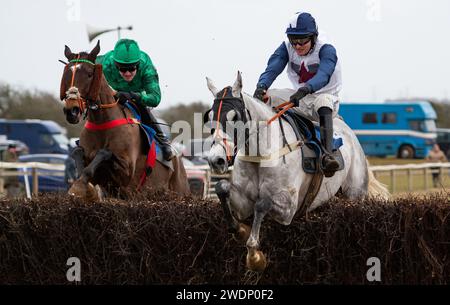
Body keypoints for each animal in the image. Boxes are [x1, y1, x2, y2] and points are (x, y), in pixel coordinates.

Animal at [59, 41, 189, 201]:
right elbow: (79, 157)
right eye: (66, 74)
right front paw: (82, 188)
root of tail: (179, 162)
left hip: (179, 191)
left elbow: (104, 152)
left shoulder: (126, 172)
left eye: (89, 74)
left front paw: (77, 188)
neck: (102, 121)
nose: (72, 110)